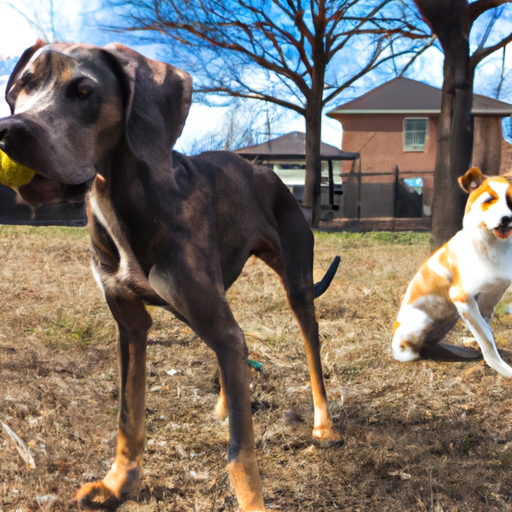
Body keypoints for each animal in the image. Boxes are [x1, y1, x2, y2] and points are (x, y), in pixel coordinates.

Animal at [0, 42, 340, 510]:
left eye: (84, 91)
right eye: (21, 88)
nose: (8, 132)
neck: (122, 197)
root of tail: (266, 170)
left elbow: (240, 450)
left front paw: (251, 500)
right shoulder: (130, 324)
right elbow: (128, 418)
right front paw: (118, 485)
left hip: (297, 287)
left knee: (310, 352)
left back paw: (324, 424)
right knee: (236, 348)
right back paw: (227, 401)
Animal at [394, 167, 512, 376]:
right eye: (489, 199)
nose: (507, 219)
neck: (493, 246)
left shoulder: (489, 301)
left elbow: (487, 334)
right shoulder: (463, 298)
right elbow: (487, 339)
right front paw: (505, 371)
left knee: (430, 344)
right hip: (423, 320)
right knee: (413, 350)